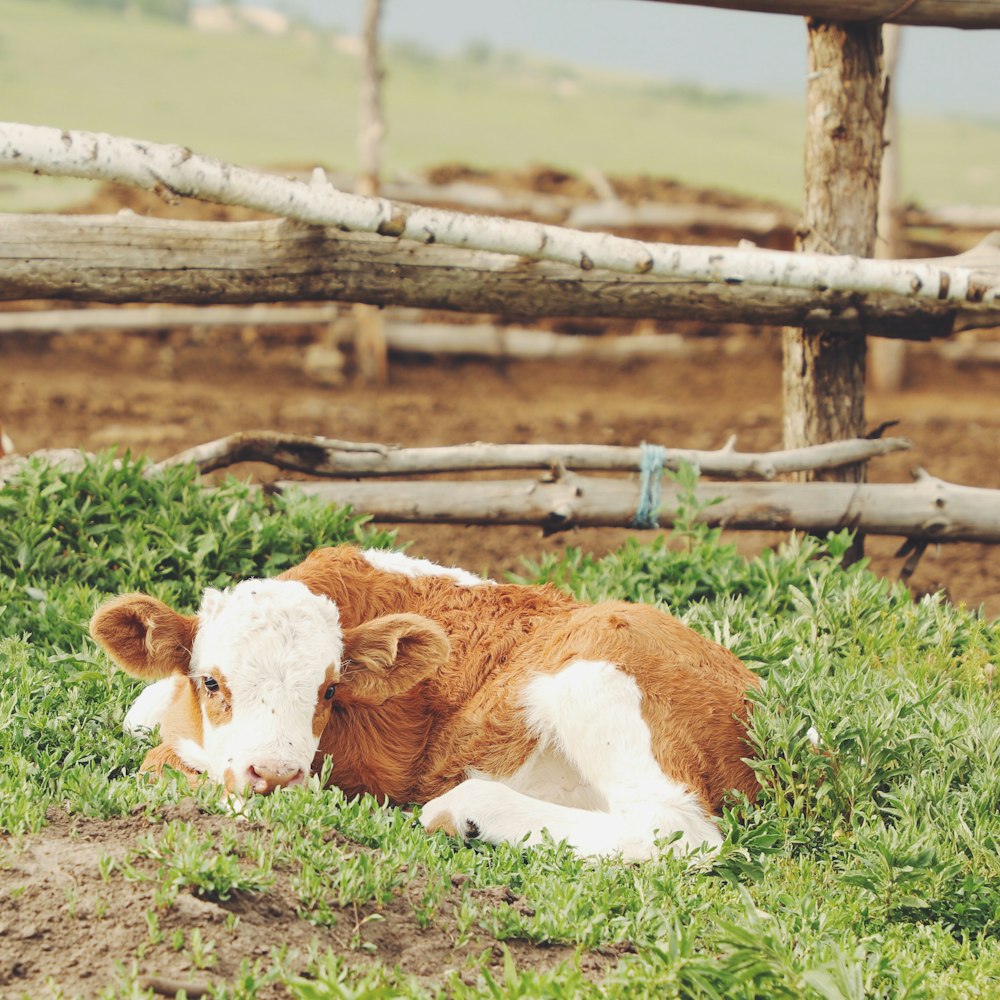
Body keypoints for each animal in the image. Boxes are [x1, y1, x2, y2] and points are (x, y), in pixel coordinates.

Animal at [92, 544, 756, 864]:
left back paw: (465, 811)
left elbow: (162, 765)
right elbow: (142, 714)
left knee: (680, 829)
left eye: (329, 690)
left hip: (597, 673)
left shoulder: (369, 772)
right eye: (211, 682)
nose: (275, 775)